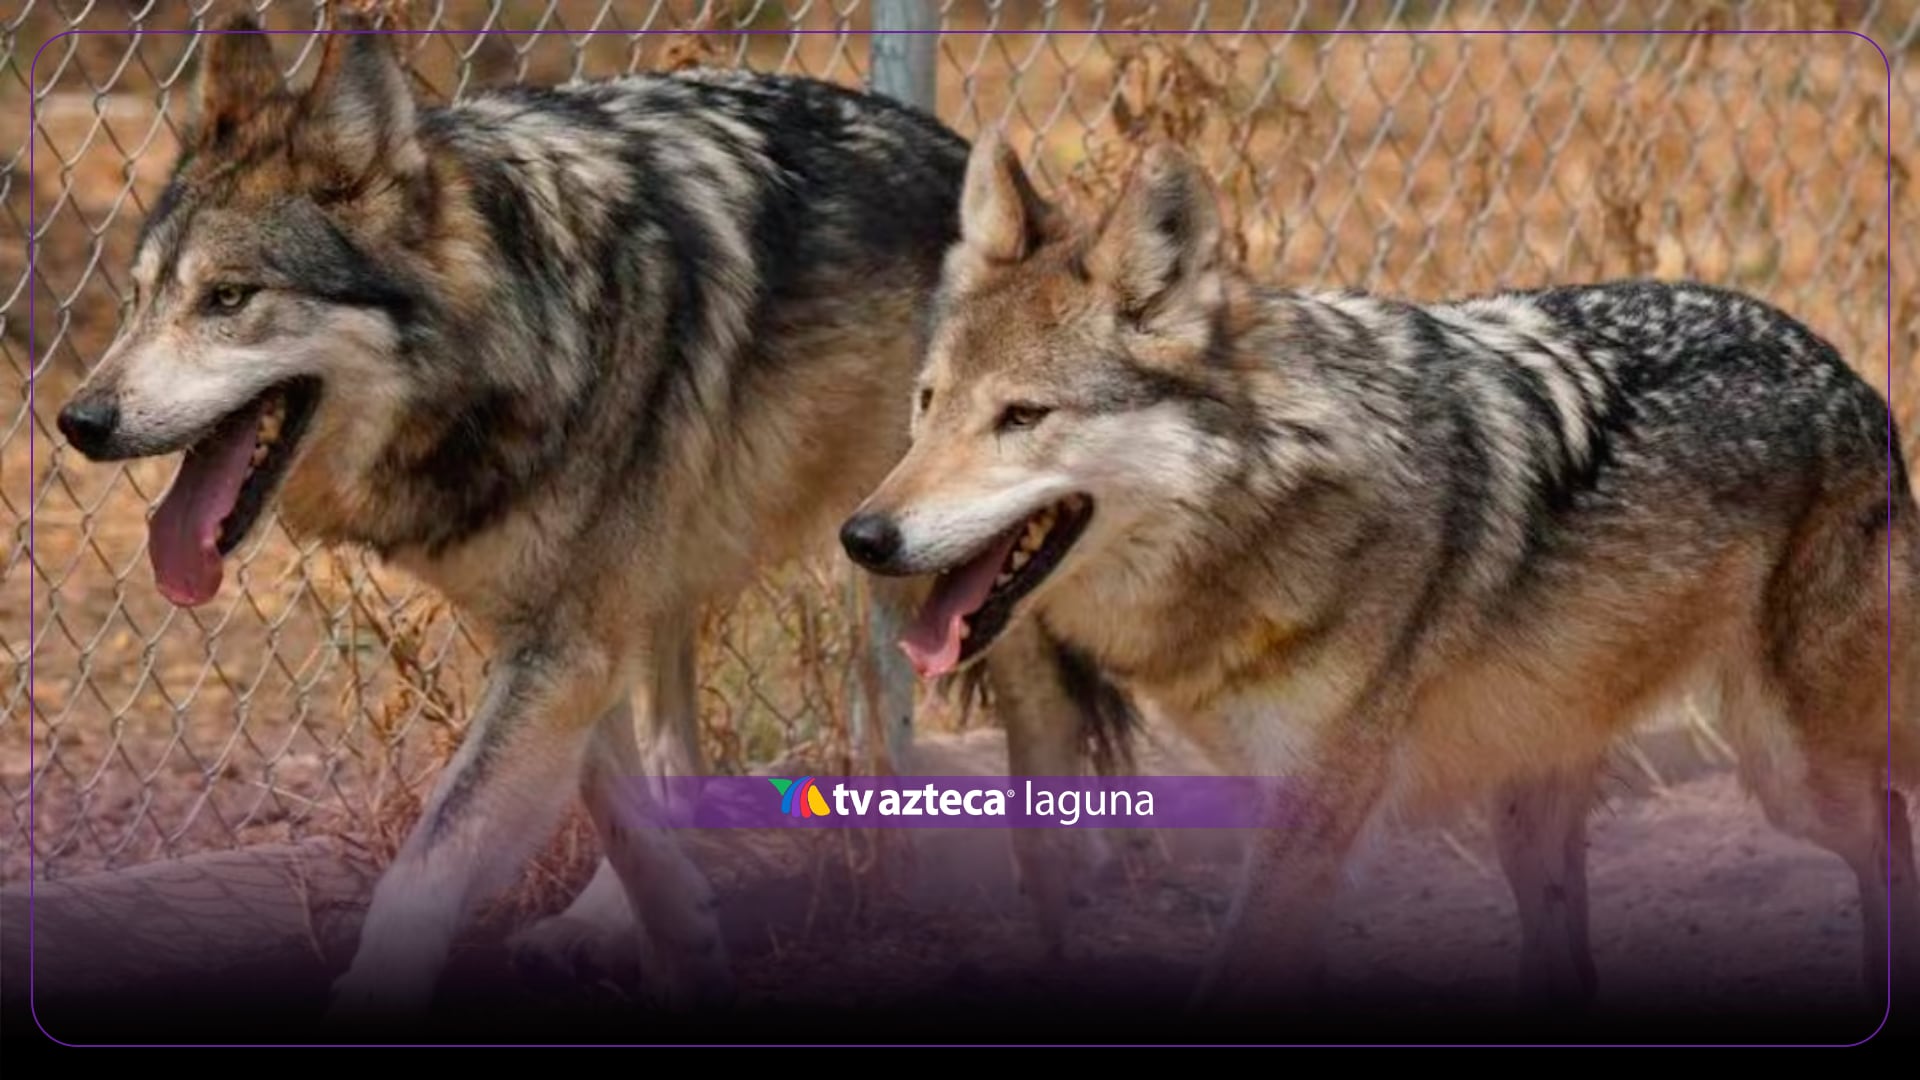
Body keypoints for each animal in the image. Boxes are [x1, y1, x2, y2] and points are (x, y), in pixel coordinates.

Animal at [52, 16, 1133, 1021]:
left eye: (229, 298)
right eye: (138, 300)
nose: (80, 422)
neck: (519, 327)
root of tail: (962, 153)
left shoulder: (568, 646)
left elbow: (426, 871)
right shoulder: (559, 637)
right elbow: (619, 808)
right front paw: (684, 940)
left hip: (952, 589)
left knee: (1046, 753)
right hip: (676, 591)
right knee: (674, 765)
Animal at [841, 135, 1920, 1012]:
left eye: (1021, 417)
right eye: (928, 404)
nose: (864, 536)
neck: (1269, 494)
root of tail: (1846, 371)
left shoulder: (1313, 820)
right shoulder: (1277, 813)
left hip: (1789, 772)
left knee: (1890, 831)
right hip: (1529, 805)